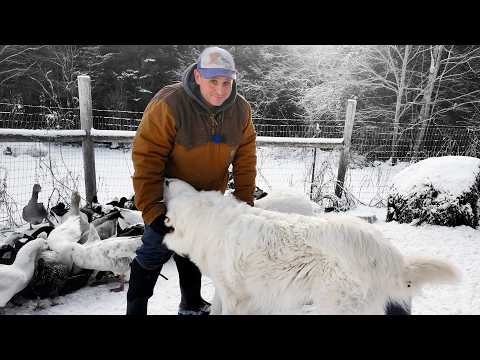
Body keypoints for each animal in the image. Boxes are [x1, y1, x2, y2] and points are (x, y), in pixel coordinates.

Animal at [163, 179, 460, 314]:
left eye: (177, 188)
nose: (165, 179)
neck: (211, 222)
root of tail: (384, 253)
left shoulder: (237, 295)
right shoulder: (228, 290)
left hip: (336, 306)